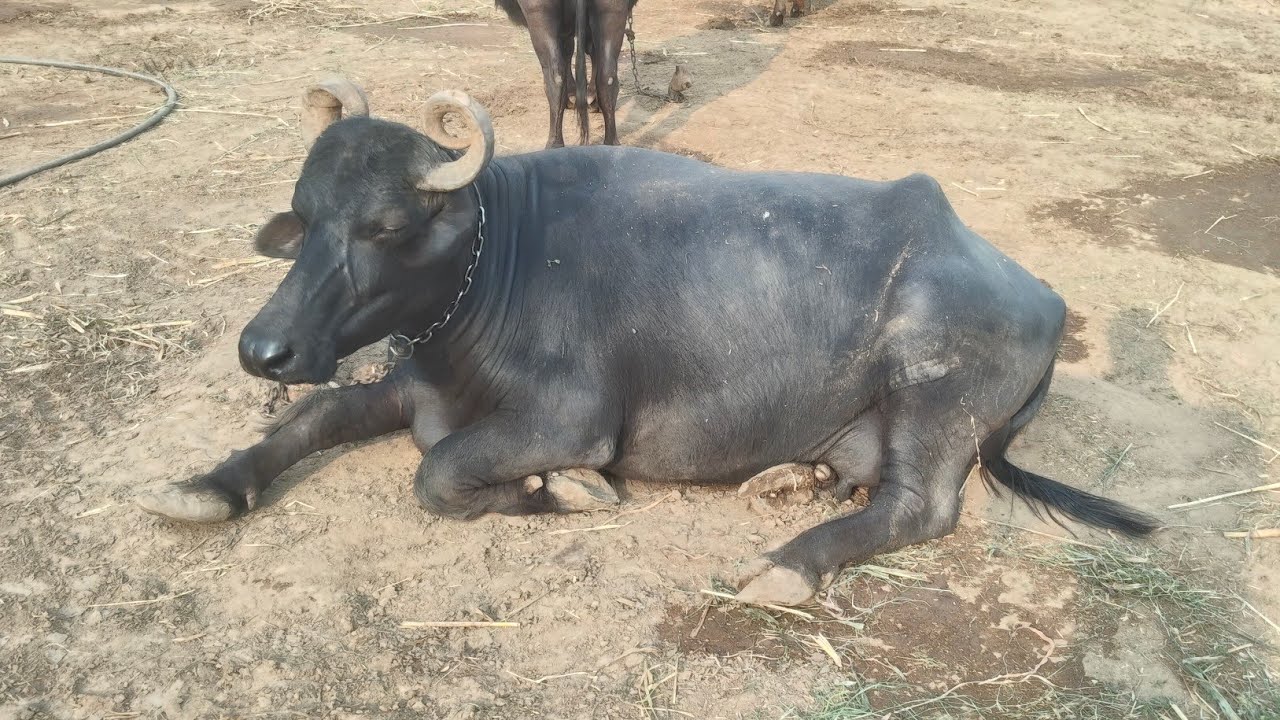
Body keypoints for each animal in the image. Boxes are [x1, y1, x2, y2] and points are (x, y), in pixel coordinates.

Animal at [137, 79, 1157, 606]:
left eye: (386, 226)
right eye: (305, 214)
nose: (262, 350)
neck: (489, 272)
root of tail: (1041, 291)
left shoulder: (570, 418)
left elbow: (438, 472)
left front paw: (561, 492)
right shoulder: (405, 381)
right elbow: (313, 416)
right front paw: (206, 485)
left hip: (932, 394)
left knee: (919, 504)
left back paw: (786, 564)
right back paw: (789, 478)